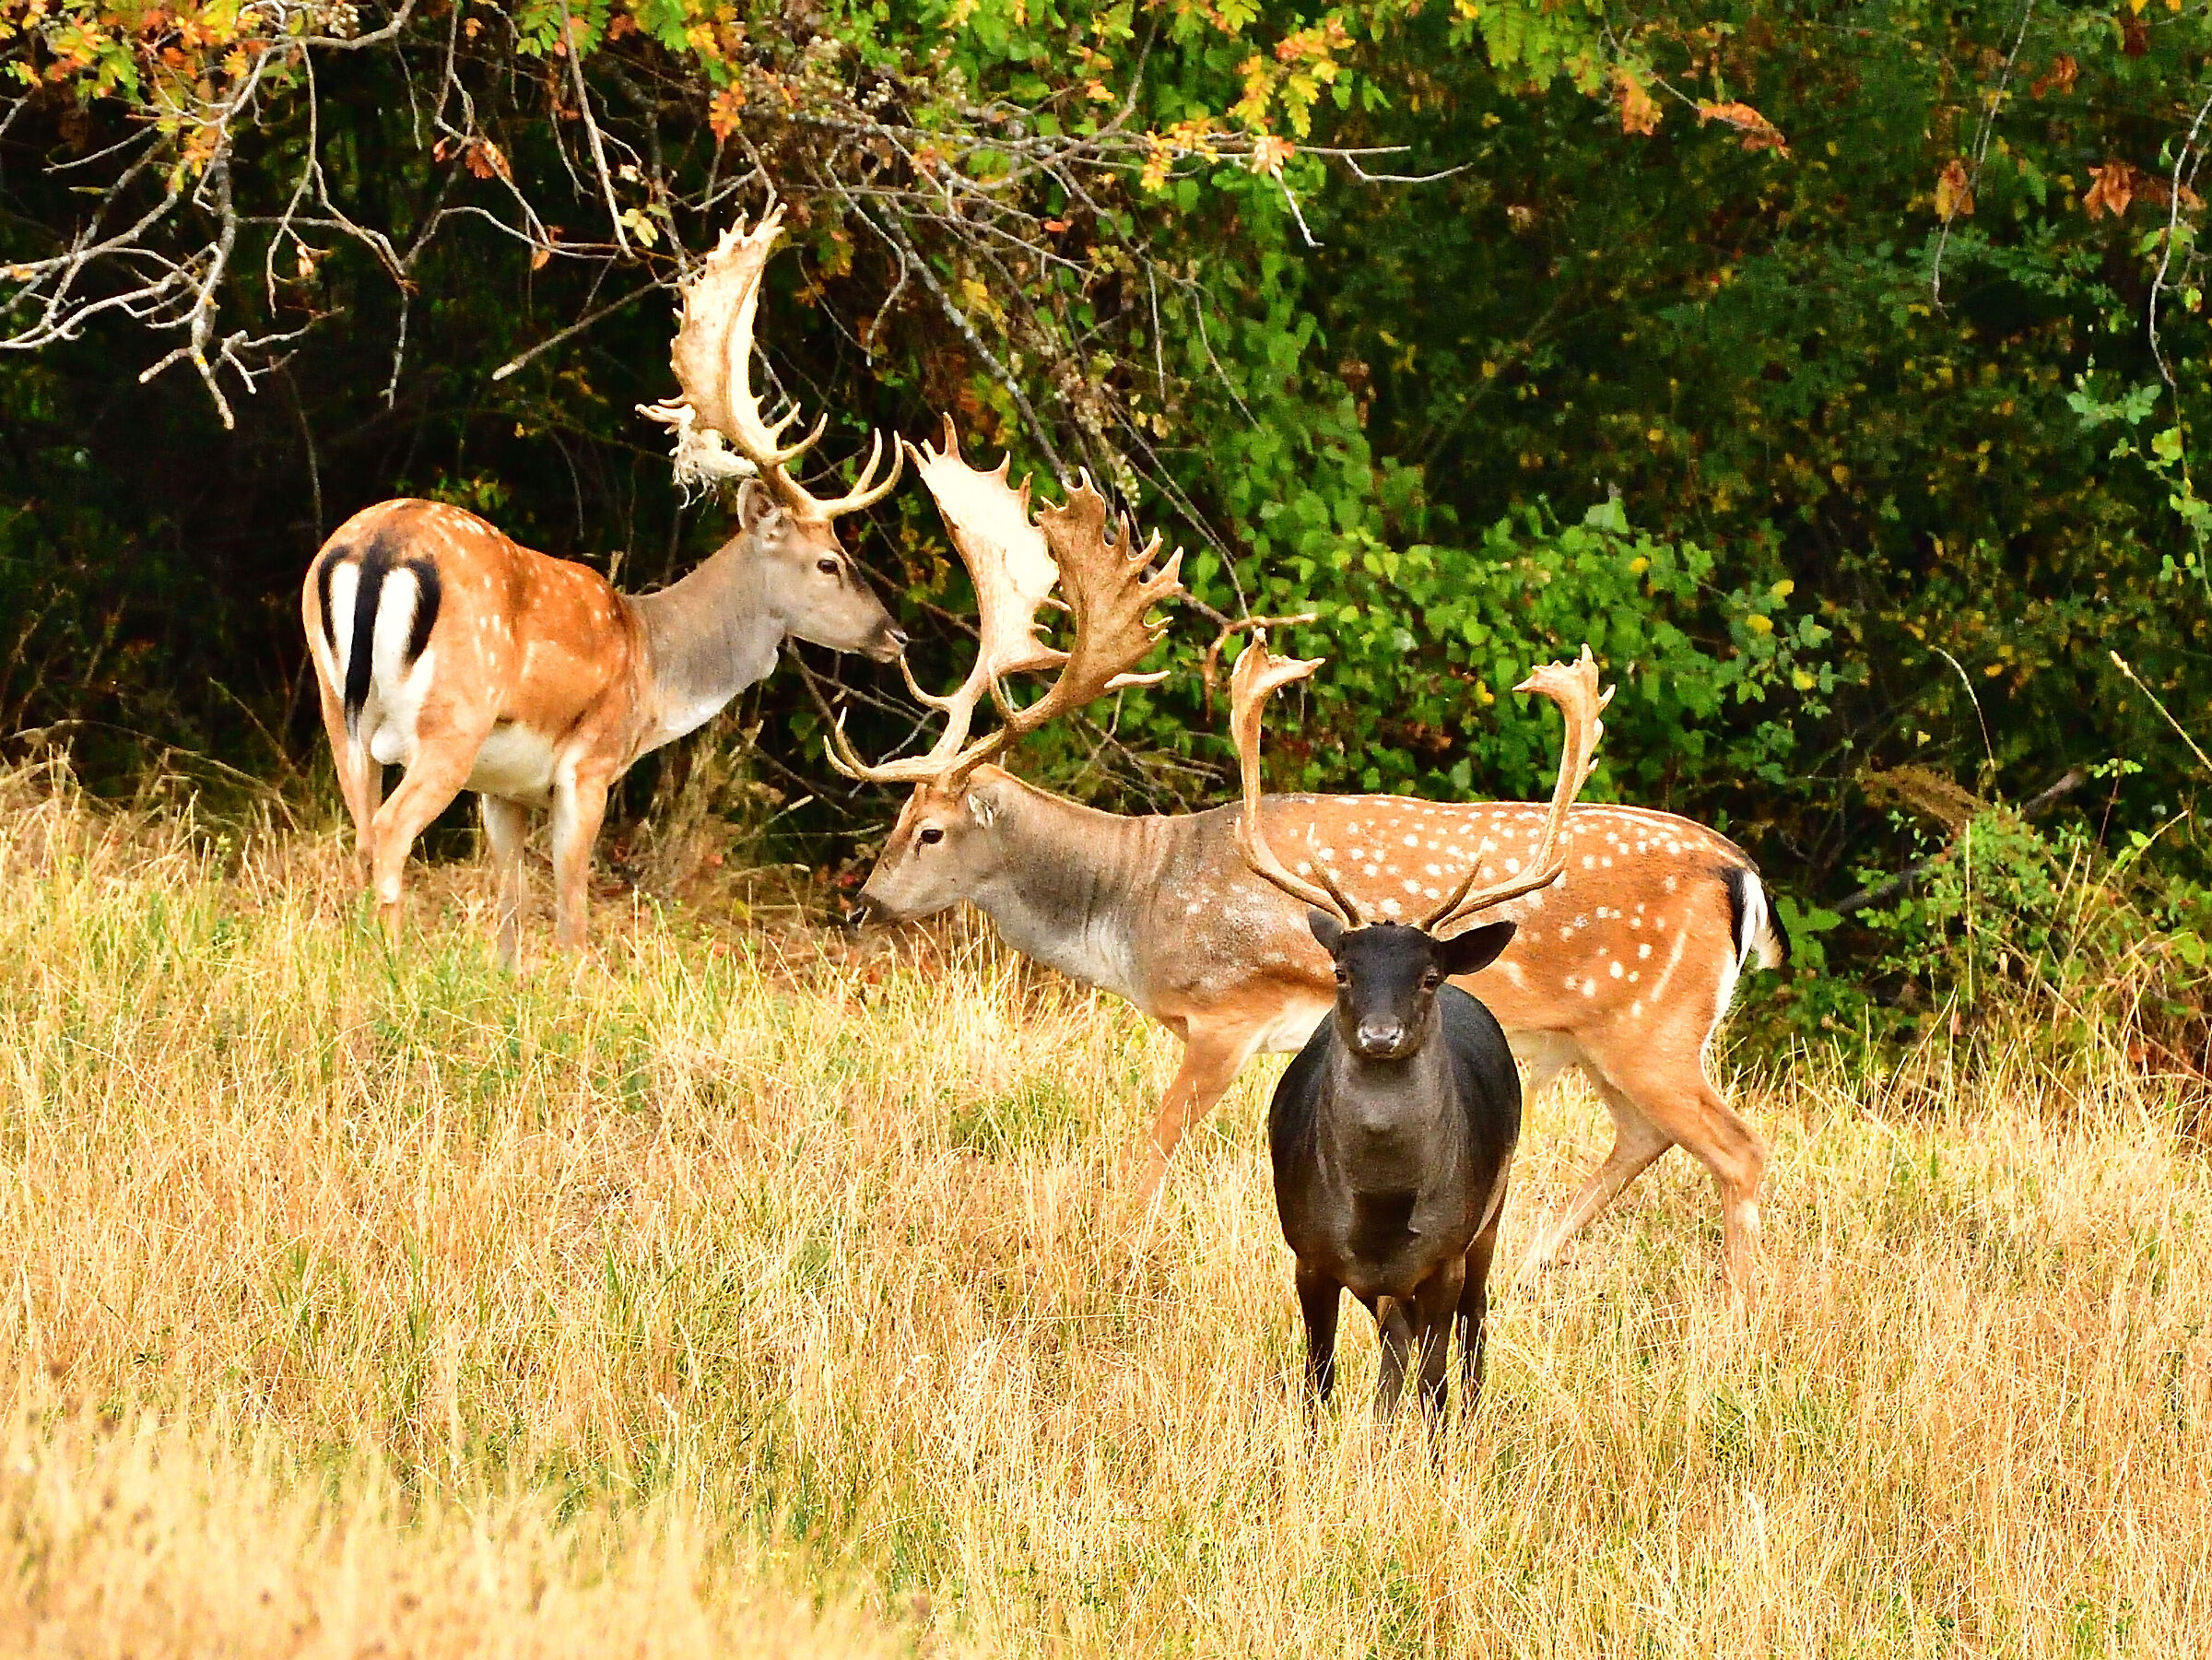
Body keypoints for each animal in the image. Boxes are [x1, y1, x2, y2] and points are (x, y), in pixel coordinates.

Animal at [301, 207, 905, 965]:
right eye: (829, 561)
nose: (894, 633)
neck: (654, 667)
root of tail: (378, 546)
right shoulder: (589, 764)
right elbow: (573, 916)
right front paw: (574, 978)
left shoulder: (504, 787)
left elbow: (510, 910)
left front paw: (504, 976)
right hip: (454, 714)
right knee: (388, 832)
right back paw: (391, 965)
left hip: (337, 704)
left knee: (357, 833)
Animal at [828, 433, 1786, 1298]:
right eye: (898, 817)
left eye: (931, 831)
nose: (865, 902)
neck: (1139, 903)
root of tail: (1741, 875)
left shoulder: (1227, 1014)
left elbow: (1157, 1143)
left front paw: (1116, 1253)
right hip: (1603, 1041)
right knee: (1646, 1137)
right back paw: (1525, 1264)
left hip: (1654, 1027)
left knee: (1738, 1148)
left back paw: (1739, 1316)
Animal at [1231, 636, 1604, 1428]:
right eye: (1341, 969)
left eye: (1427, 977)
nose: (1379, 1033)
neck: (1378, 1210)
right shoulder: (1308, 1254)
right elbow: (1318, 1379)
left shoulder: (1444, 1254)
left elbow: (1433, 1382)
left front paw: (1436, 1450)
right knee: (1392, 1344)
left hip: (1491, 1215)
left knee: (1471, 1327)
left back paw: (1469, 1416)